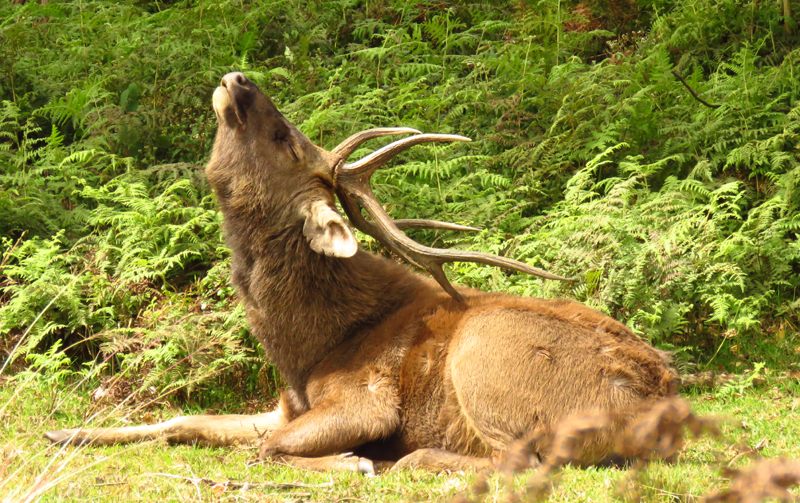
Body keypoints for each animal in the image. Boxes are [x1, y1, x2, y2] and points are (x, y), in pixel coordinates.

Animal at [47, 73, 680, 474]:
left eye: (283, 139)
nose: (238, 77)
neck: (303, 350)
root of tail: (663, 402)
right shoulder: (286, 404)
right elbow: (186, 420)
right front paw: (64, 433)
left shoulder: (365, 401)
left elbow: (267, 450)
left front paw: (355, 462)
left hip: (485, 353)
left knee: (519, 457)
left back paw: (410, 460)